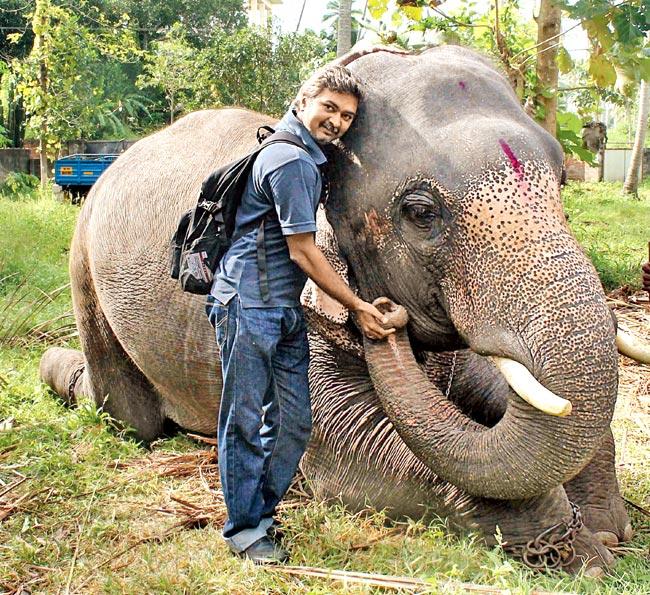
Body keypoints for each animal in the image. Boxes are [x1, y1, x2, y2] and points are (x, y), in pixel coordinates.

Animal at [39, 46, 644, 576]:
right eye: (420, 212)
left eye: (562, 179)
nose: (387, 317)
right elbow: (348, 446)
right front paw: (586, 555)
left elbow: (489, 387)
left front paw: (607, 525)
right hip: (83, 268)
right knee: (126, 415)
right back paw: (58, 368)